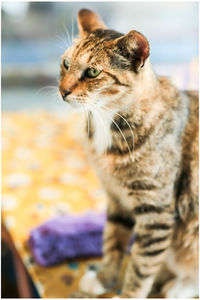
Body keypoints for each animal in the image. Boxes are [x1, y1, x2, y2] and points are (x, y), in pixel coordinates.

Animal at [57, 8, 198, 298]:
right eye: (65, 63)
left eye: (92, 71)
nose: (62, 90)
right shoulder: (116, 199)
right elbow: (113, 241)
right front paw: (104, 278)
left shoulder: (156, 213)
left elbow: (141, 267)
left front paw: (129, 293)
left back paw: (177, 287)